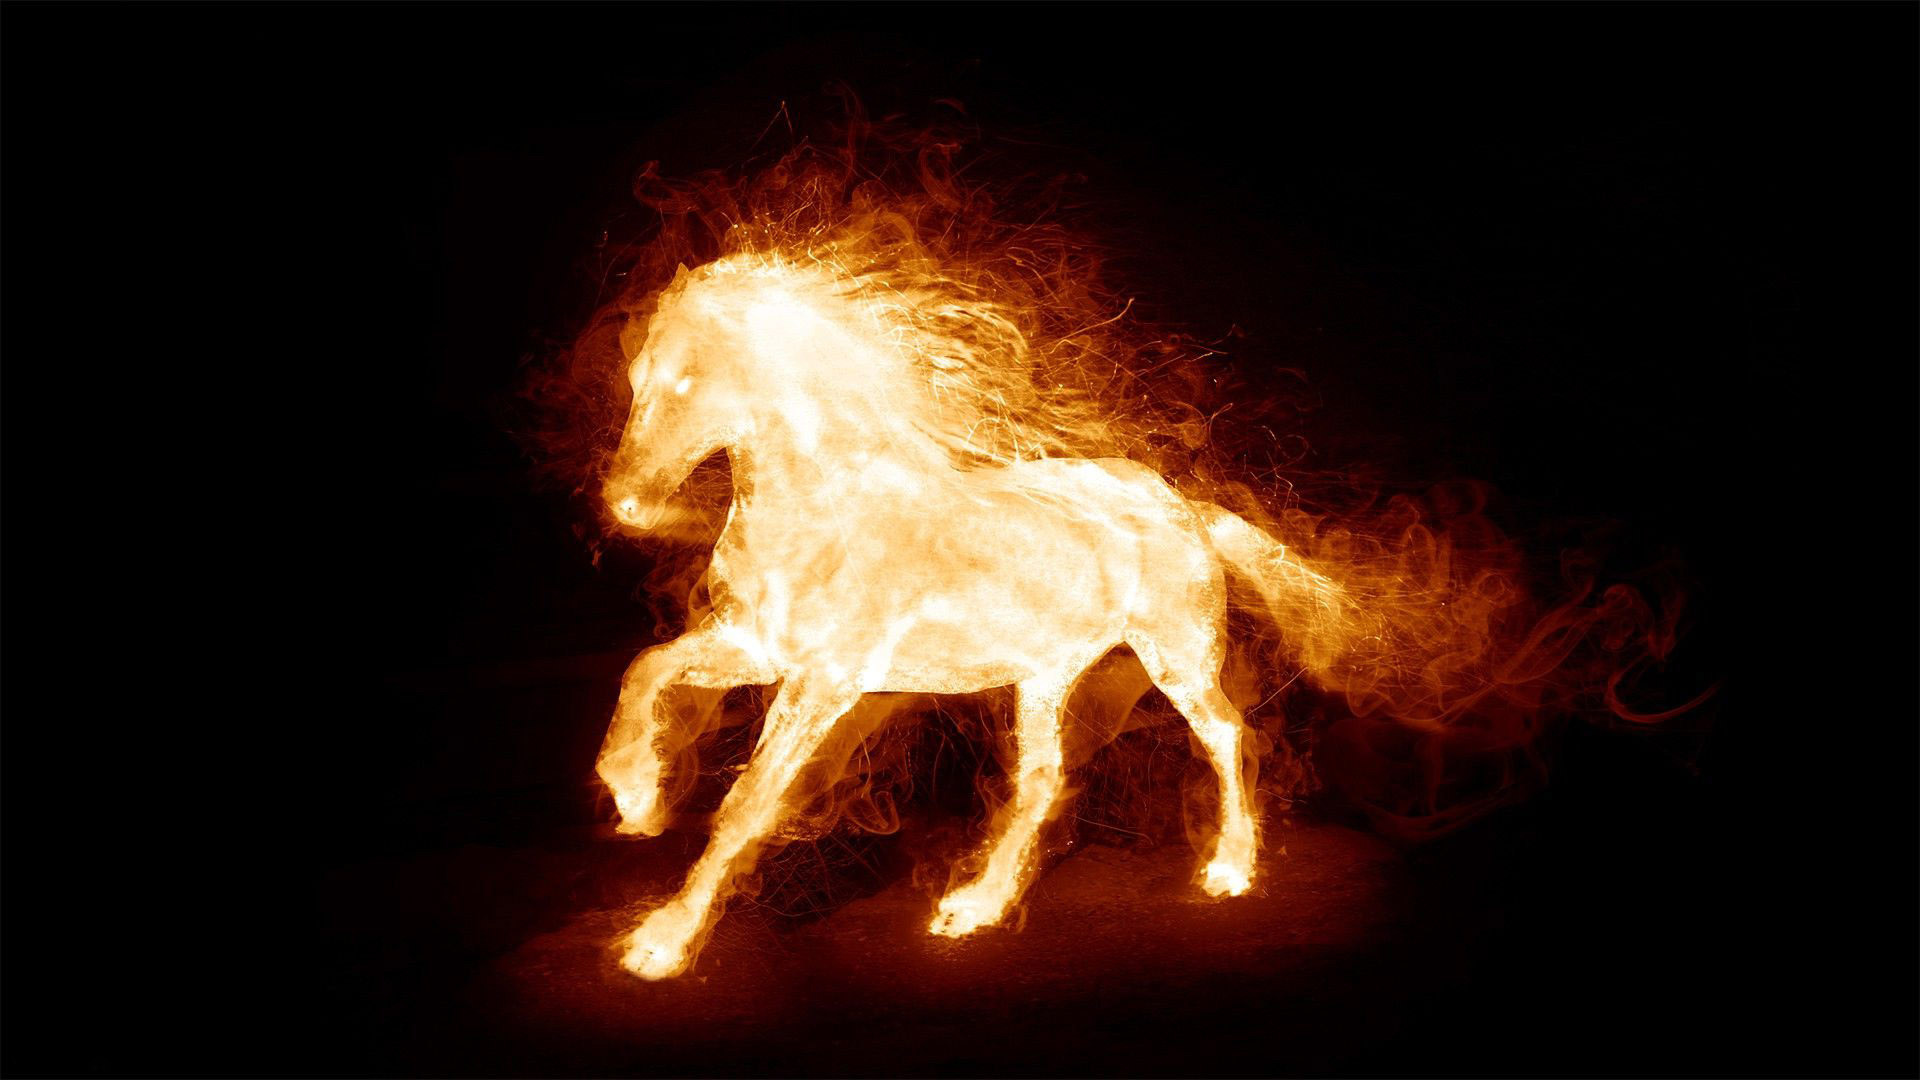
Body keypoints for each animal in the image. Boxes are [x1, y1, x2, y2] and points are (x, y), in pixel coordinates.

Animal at [593, 255, 1352, 979]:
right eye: (636, 375)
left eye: (689, 380)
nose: (628, 503)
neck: (826, 513)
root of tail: (1181, 507)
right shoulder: (754, 647)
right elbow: (646, 668)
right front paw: (637, 796)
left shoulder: (824, 683)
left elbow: (748, 803)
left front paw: (659, 944)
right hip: (1045, 678)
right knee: (1042, 779)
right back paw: (973, 908)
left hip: (1178, 660)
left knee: (1226, 734)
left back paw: (1228, 869)